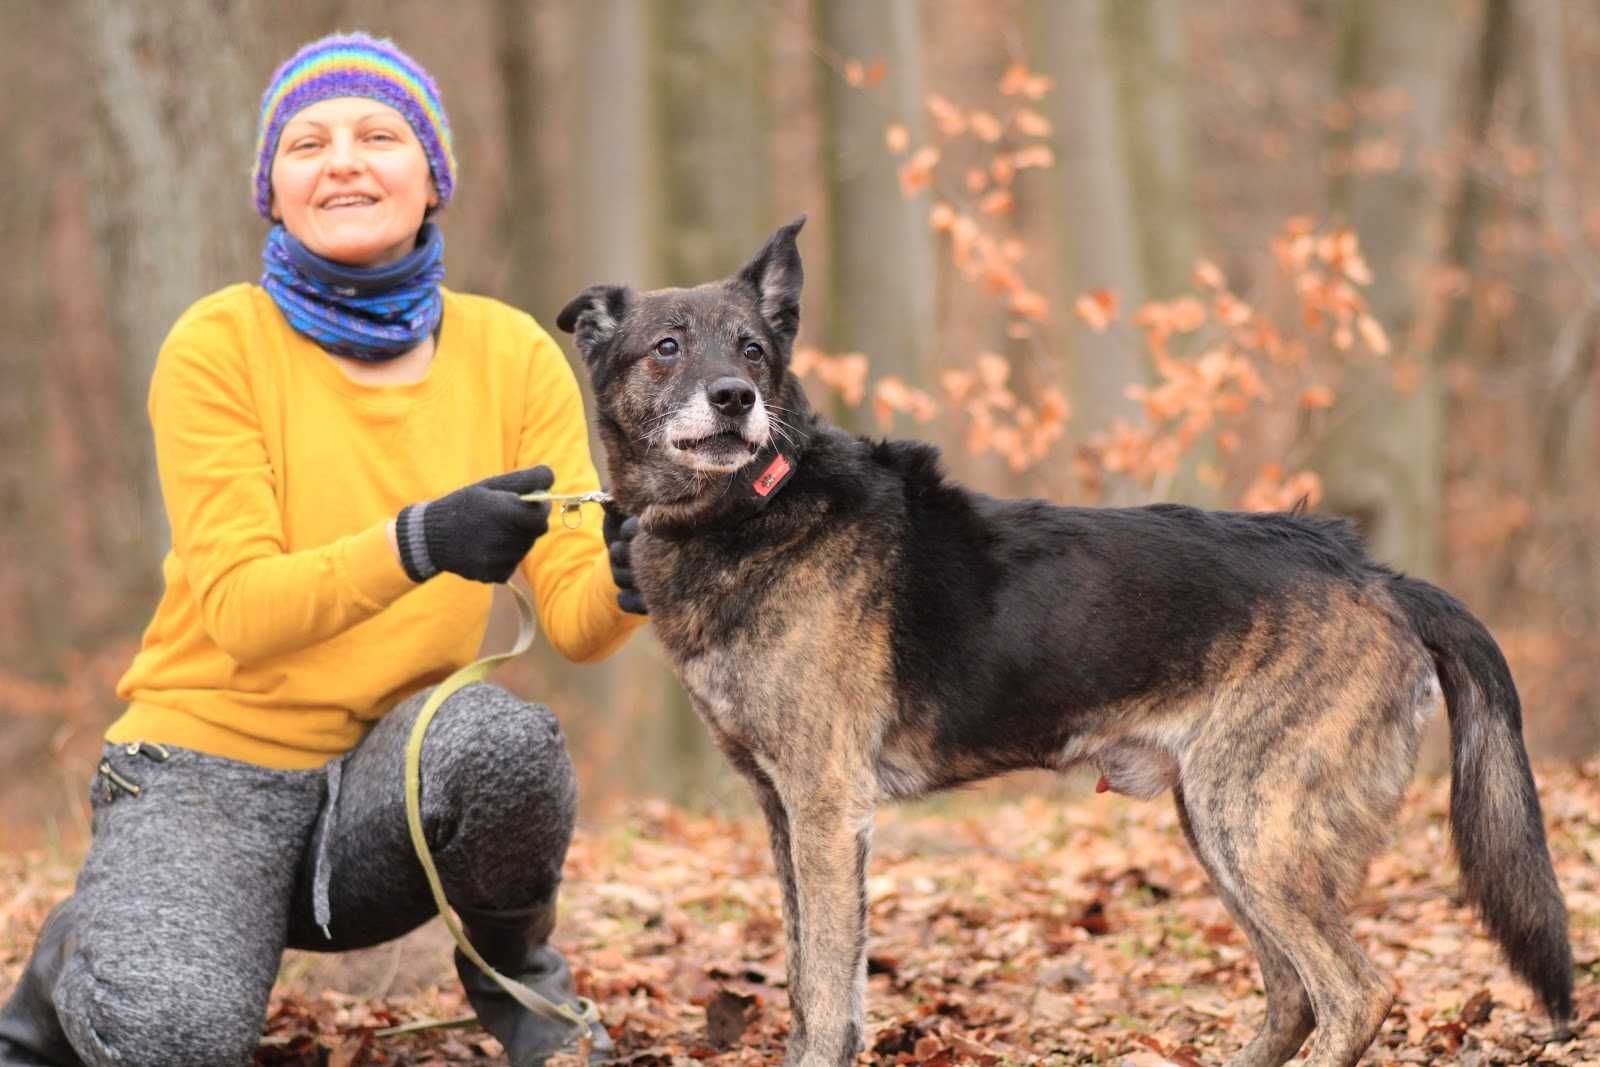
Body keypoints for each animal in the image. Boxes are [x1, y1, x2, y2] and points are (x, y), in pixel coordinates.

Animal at [556, 219, 1568, 1067]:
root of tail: (1376, 572)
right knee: (1293, 995)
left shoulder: (826, 805)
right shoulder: (785, 811)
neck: (757, 508)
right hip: (1221, 826)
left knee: (1357, 992)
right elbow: (813, 984)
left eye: (754, 350)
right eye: (667, 346)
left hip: (1257, 824)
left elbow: (828, 994)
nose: (735, 399)